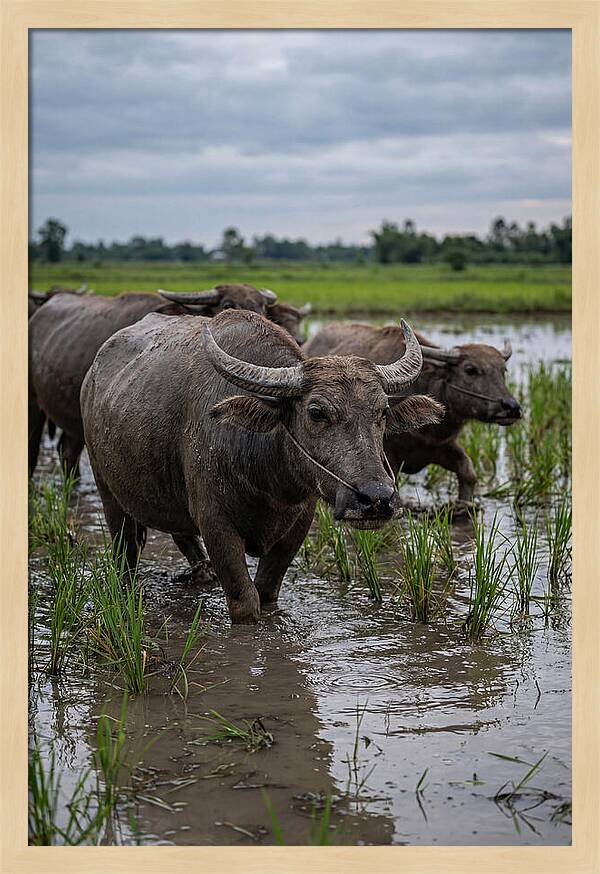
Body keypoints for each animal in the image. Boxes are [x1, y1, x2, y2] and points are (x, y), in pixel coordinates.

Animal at [81, 311, 443, 623]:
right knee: (125, 552)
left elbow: (267, 594)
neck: (269, 480)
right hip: (107, 490)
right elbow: (246, 603)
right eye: (316, 412)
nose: (376, 498)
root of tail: (91, 377)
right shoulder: (216, 524)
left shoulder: (298, 525)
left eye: (382, 411)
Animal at [305, 322, 521, 506]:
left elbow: (468, 472)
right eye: (470, 370)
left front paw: (464, 505)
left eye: (503, 370)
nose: (511, 407)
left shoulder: (441, 446)